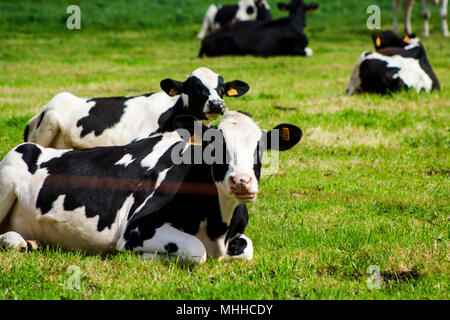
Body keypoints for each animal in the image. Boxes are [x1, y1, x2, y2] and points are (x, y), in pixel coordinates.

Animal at [0, 111, 302, 264]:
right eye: (212, 145)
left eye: (260, 147)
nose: (241, 181)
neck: (218, 226)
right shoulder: (136, 229)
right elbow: (196, 252)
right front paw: (149, 258)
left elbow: (246, 250)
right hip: (7, 176)